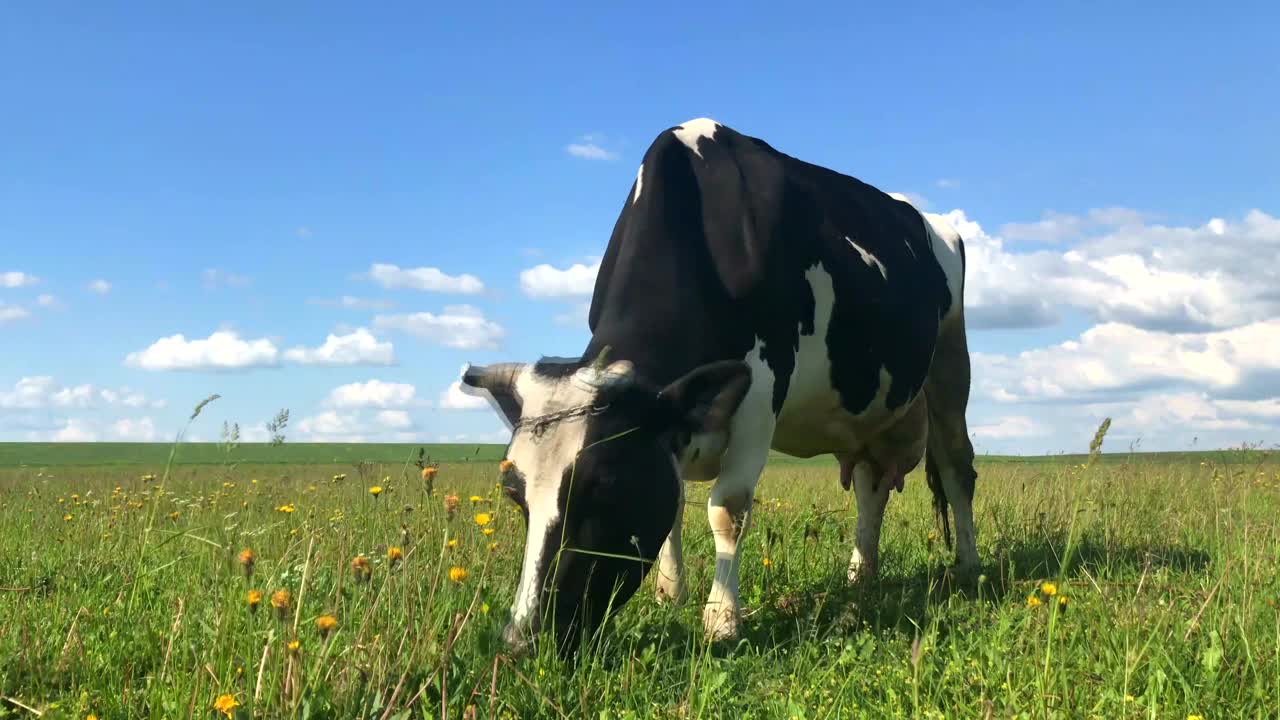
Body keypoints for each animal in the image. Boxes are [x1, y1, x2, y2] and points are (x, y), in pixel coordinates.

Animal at [463, 116, 977, 655]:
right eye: (514, 494)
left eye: (606, 484)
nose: (521, 640)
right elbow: (673, 504)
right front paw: (670, 594)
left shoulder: (762, 391)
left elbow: (727, 509)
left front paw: (722, 620)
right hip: (868, 415)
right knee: (870, 486)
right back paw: (861, 576)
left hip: (950, 363)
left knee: (957, 468)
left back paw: (968, 567)